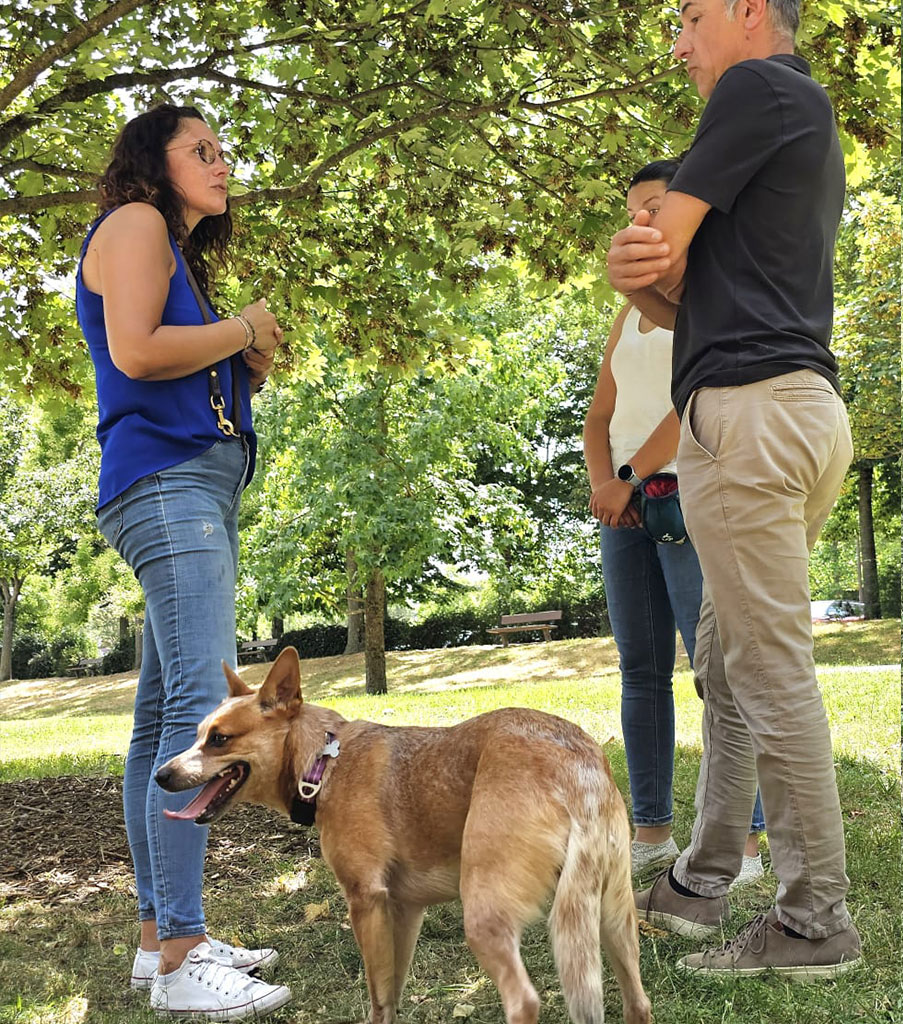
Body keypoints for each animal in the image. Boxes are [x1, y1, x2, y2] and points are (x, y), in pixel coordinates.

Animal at [154, 647, 647, 1024]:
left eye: (219, 739)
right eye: (198, 735)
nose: (160, 775)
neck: (323, 764)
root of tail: (577, 765)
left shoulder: (366, 901)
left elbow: (377, 995)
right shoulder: (405, 909)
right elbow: (393, 990)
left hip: (486, 916)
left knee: (524, 1002)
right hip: (610, 918)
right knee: (638, 1003)